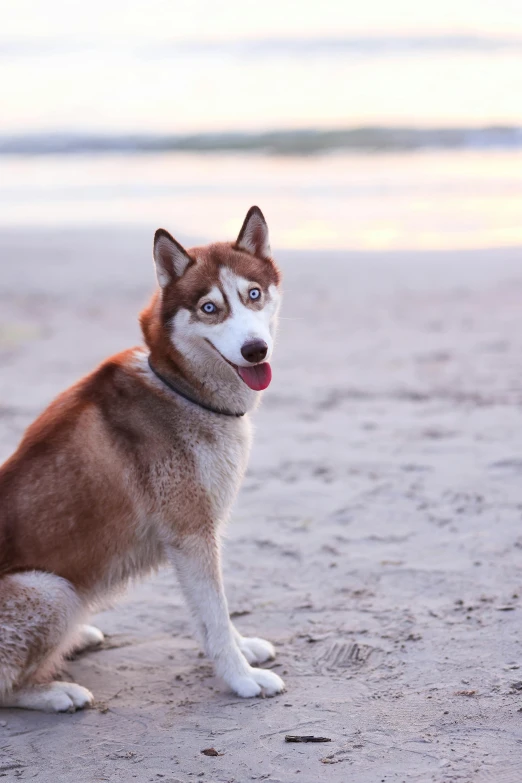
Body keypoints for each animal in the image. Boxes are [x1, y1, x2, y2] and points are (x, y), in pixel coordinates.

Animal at [0, 207, 284, 712]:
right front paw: (241, 677)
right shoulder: (190, 533)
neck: (182, 388)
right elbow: (214, 615)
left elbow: (214, 616)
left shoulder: (200, 533)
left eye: (253, 295)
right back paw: (55, 692)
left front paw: (243, 648)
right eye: (209, 308)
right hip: (52, 590)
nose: (256, 350)